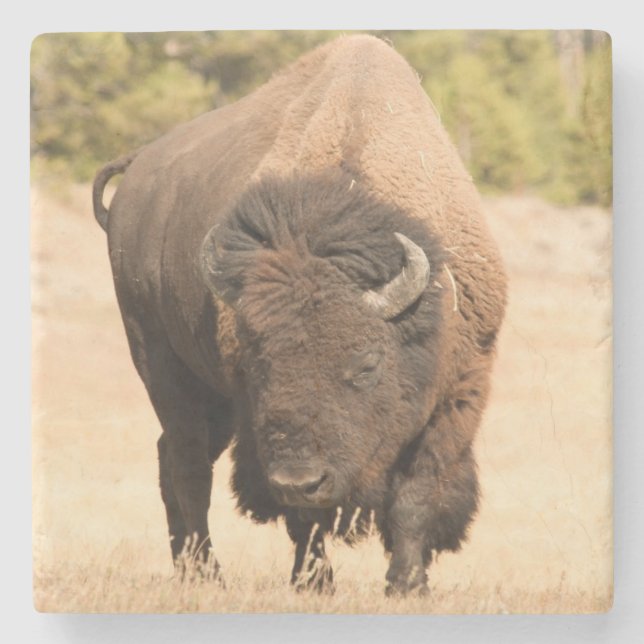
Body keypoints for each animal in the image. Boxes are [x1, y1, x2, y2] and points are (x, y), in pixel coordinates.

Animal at [93, 35, 507, 596]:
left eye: (366, 364)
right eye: (259, 364)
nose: (299, 479)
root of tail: (137, 169)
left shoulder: (459, 393)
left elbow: (417, 494)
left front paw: (407, 585)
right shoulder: (258, 423)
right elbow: (304, 520)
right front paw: (315, 583)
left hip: (213, 402)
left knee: (171, 458)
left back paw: (188, 569)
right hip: (161, 365)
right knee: (188, 465)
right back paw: (206, 573)